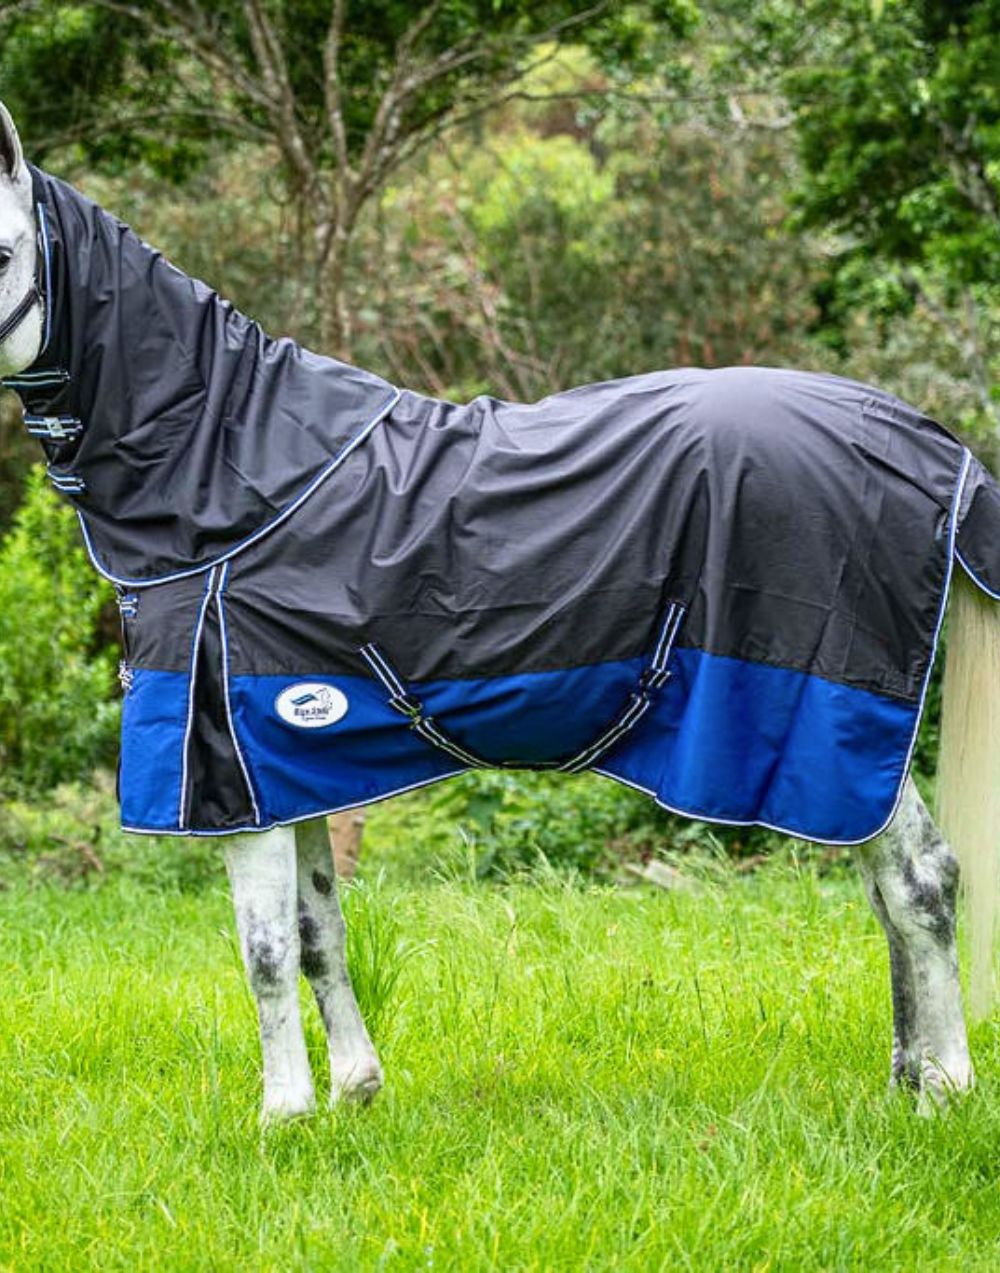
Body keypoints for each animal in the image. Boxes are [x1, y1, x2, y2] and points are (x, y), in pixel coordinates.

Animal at [1, 101, 998, 1122]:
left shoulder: (231, 781)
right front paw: (353, 1093)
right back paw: (906, 1080)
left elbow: (266, 952)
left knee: (921, 881)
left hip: (834, 727)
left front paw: (283, 1115)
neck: (232, 479)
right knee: (884, 886)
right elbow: (320, 930)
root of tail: (930, 443)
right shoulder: (288, 770)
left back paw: (946, 1089)